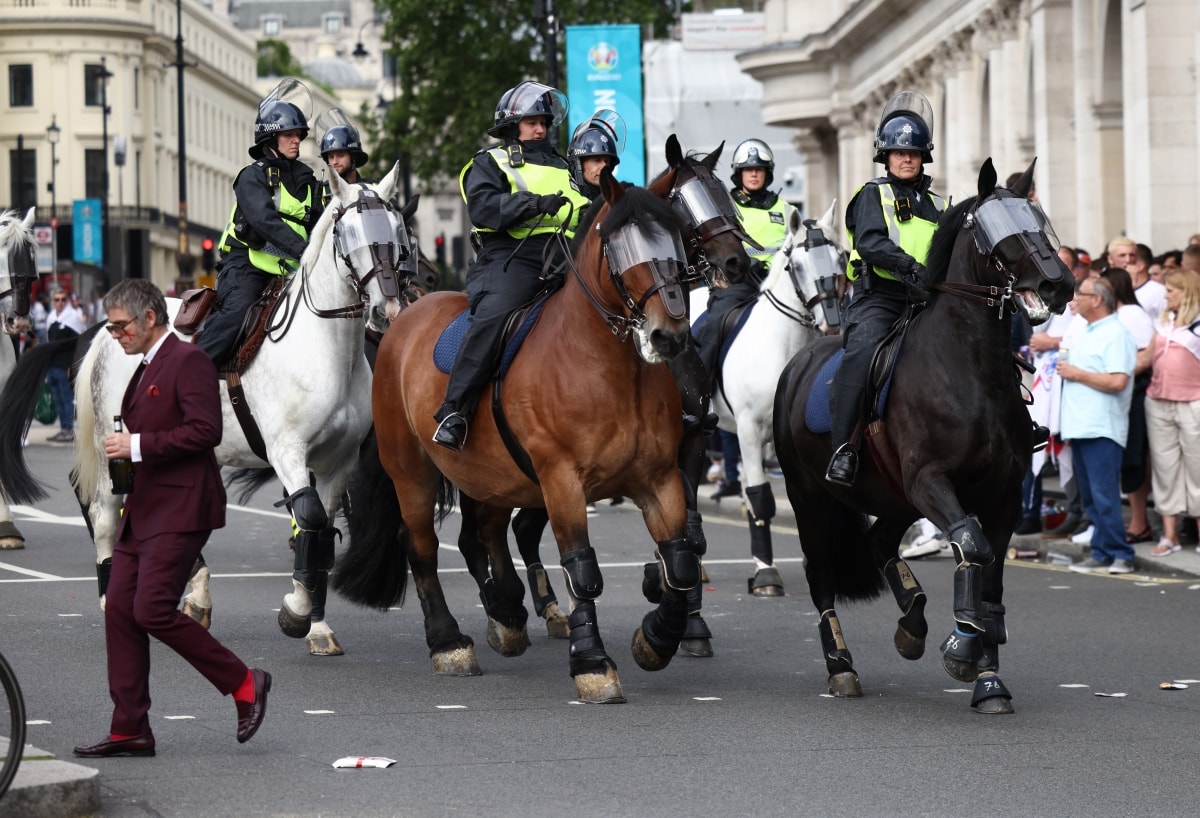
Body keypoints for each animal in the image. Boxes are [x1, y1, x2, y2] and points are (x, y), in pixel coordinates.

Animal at [333, 166, 700, 700]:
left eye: (676, 238)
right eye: (621, 245)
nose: (667, 335)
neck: (607, 367)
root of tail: (402, 316)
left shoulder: (659, 479)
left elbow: (680, 562)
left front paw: (655, 639)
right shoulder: (561, 481)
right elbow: (582, 570)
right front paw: (592, 663)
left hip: (491, 473)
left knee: (482, 532)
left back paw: (506, 612)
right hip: (410, 470)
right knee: (420, 545)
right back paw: (448, 642)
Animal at [772, 157, 1075, 705]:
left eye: (1039, 221)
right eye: (996, 228)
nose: (1058, 284)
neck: (968, 370)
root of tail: (801, 359)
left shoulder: (1002, 494)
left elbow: (991, 575)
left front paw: (988, 678)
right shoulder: (930, 480)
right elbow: (973, 548)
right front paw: (963, 645)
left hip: (894, 496)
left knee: (879, 544)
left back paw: (912, 623)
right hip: (813, 497)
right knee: (821, 573)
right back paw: (841, 665)